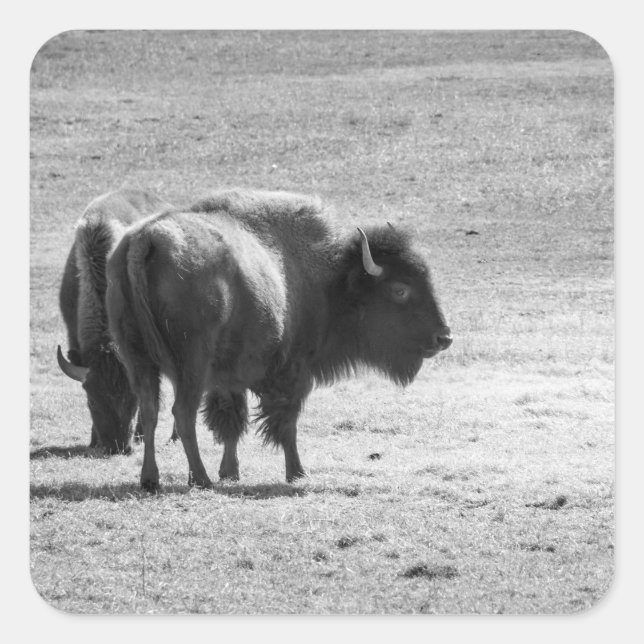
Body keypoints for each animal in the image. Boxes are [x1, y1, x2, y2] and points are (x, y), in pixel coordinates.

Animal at [105, 189, 451, 490]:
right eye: (400, 289)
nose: (444, 337)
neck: (330, 280)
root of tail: (145, 240)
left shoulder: (229, 377)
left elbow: (231, 421)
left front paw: (230, 472)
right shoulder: (292, 372)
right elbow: (286, 423)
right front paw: (296, 473)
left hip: (137, 359)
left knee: (150, 410)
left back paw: (151, 479)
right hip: (191, 364)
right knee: (182, 413)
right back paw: (200, 479)